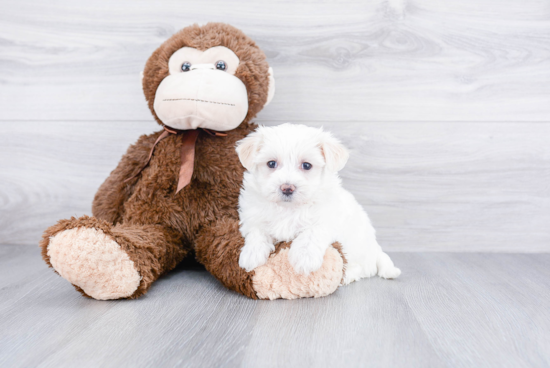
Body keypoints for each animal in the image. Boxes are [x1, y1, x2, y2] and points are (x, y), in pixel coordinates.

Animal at [236, 124, 402, 284]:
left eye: (307, 165)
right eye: (271, 163)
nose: (287, 188)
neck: (289, 208)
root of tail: (376, 250)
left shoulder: (327, 218)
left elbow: (311, 233)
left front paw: (304, 258)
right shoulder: (253, 217)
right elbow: (257, 233)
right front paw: (251, 254)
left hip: (356, 249)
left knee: (362, 268)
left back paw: (347, 276)